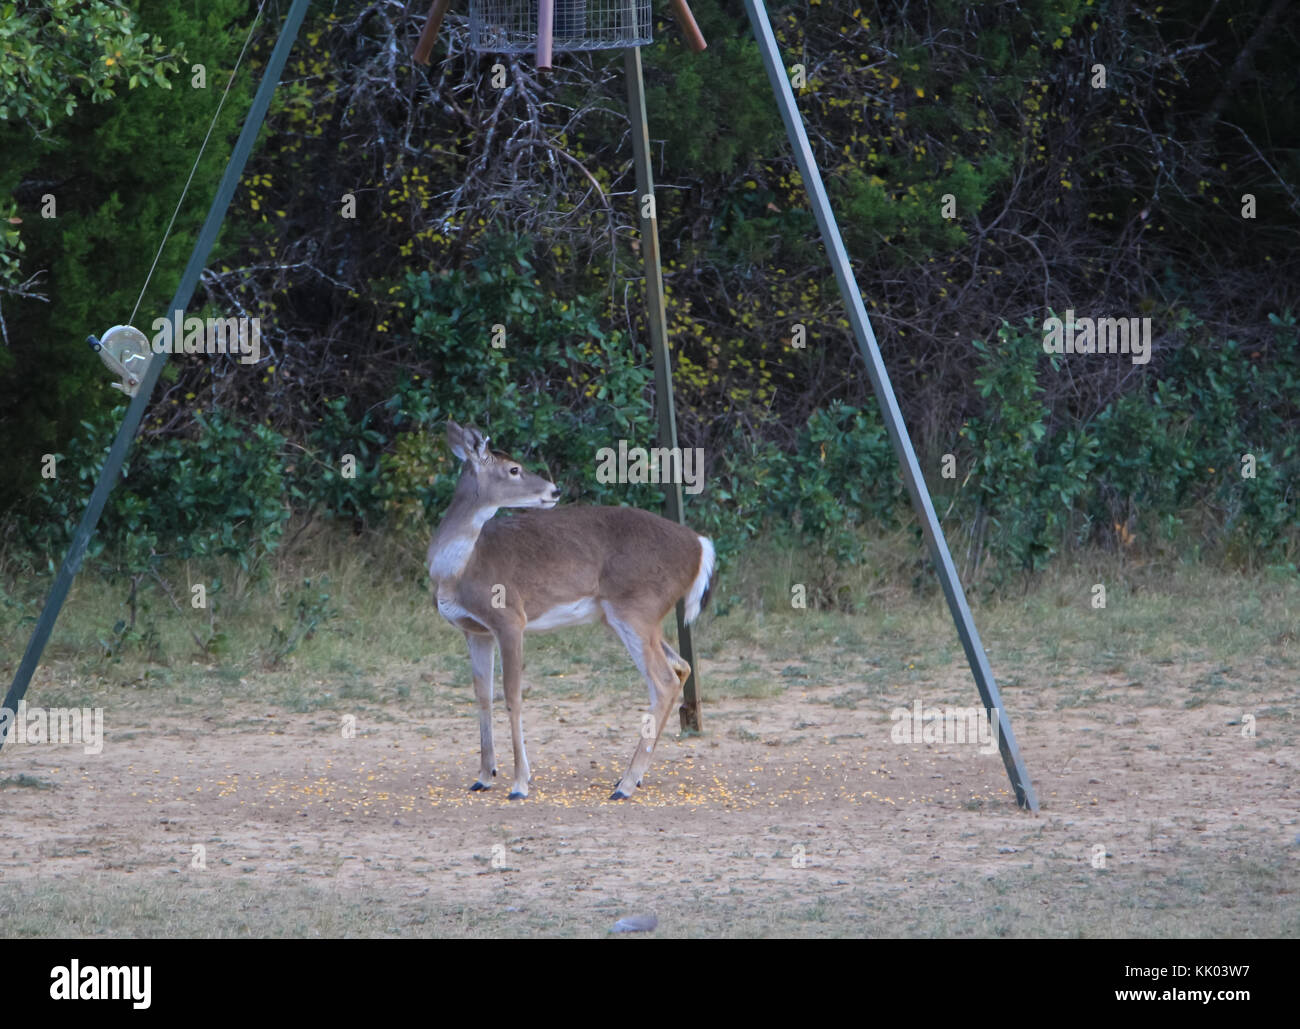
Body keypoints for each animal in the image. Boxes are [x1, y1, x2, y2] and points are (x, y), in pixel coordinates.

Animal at [426, 420, 717, 800]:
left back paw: (625, 785)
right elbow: (482, 696)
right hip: (629, 616)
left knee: (664, 680)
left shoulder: (510, 618)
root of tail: (701, 545)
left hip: (636, 608)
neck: (456, 570)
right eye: (514, 469)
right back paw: (632, 777)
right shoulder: (475, 630)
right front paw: (484, 776)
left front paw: (520, 784)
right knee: (680, 666)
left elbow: (512, 696)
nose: (555, 489)